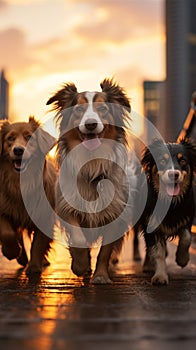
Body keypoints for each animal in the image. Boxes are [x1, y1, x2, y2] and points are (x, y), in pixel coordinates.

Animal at [0, 117, 56, 274]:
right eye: (10, 138)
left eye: (29, 137)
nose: (18, 150)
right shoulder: (4, 210)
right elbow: (7, 233)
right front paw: (12, 252)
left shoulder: (44, 216)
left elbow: (38, 244)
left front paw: (34, 267)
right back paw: (22, 258)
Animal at [46, 78, 134, 284]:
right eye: (78, 110)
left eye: (103, 109)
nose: (91, 124)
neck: (92, 162)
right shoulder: (68, 206)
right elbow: (78, 240)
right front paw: (80, 266)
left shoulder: (115, 212)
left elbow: (105, 252)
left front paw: (100, 275)